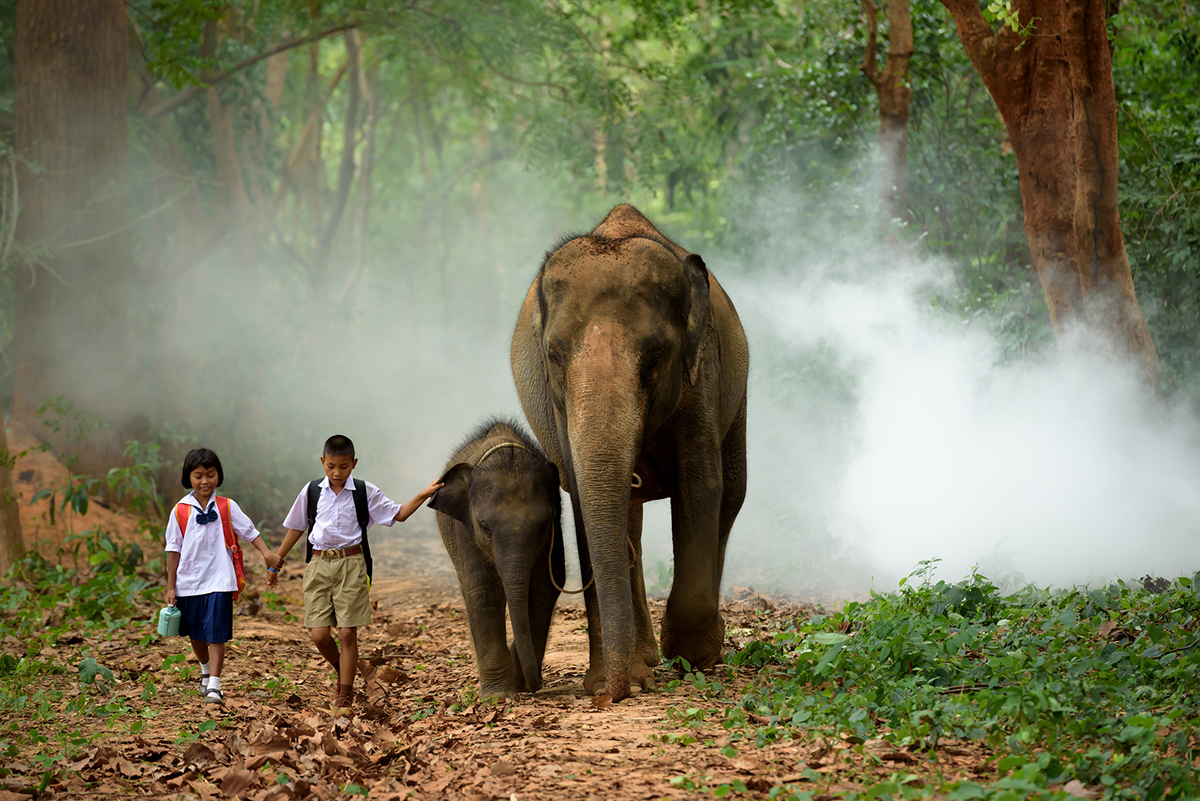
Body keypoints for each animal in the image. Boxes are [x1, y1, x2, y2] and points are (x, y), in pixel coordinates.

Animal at [429, 422, 564, 695]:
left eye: (543, 525)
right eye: (485, 527)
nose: (534, 686)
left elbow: (544, 589)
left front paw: (516, 681)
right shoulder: (465, 530)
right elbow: (483, 591)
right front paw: (499, 695)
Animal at [508, 206, 748, 700]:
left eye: (655, 358)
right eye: (554, 356)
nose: (610, 695)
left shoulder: (701, 376)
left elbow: (701, 486)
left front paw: (692, 658)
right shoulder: (559, 406)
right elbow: (583, 497)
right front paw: (613, 678)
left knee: (732, 493)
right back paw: (645, 659)